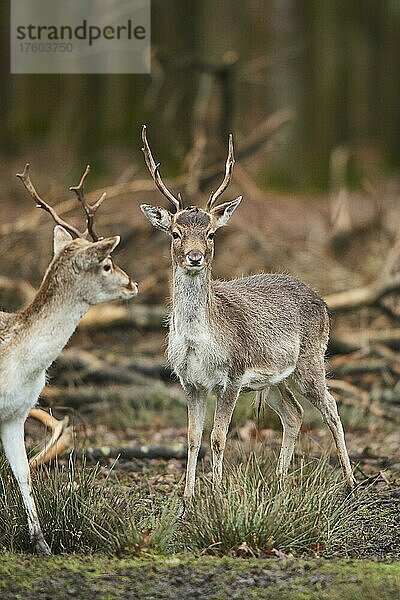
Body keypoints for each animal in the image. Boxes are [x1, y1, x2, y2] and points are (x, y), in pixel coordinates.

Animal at [140, 126, 354, 506]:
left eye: (211, 233)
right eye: (176, 233)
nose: (194, 257)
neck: (200, 343)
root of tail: (324, 302)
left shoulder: (234, 374)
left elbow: (218, 437)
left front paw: (217, 496)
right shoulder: (189, 381)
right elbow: (192, 438)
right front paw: (187, 500)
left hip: (310, 360)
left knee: (330, 405)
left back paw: (350, 482)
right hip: (275, 378)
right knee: (294, 414)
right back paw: (280, 483)